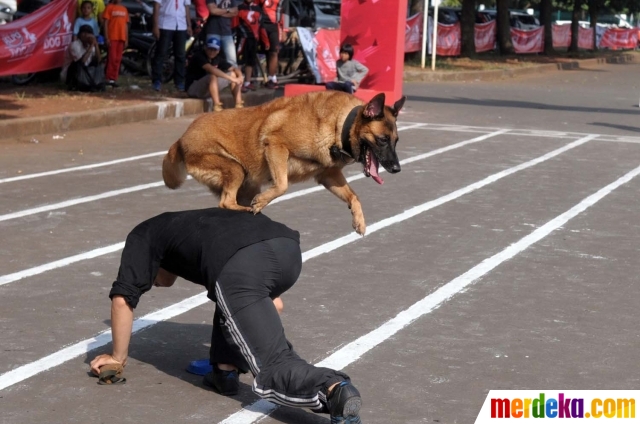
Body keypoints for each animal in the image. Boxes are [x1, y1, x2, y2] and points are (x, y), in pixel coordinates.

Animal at [162, 90, 408, 235]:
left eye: (396, 141)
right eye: (383, 140)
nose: (397, 169)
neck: (340, 125)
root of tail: (182, 139)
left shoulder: (329, 175)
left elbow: (354, 197)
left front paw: (359, 221)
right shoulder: (276, 145)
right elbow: (282, 184)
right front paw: (262, 201)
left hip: (246, 182)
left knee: (227, 203)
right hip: (236, 169)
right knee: (226, 202)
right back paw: (249, 208)